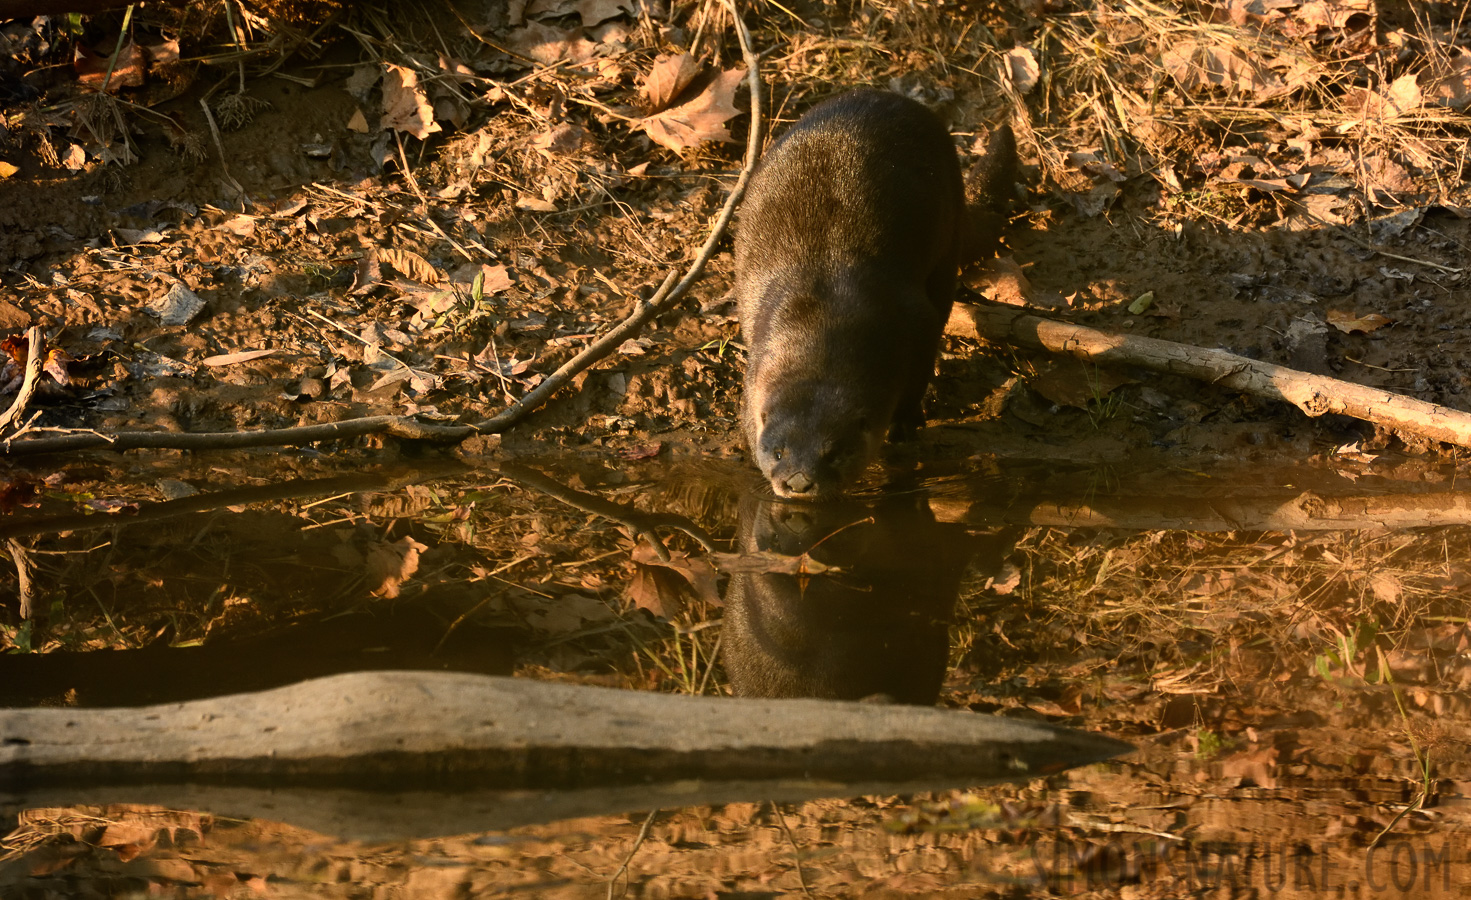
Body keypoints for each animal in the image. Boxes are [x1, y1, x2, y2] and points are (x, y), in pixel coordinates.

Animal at [732, 88, 1012, 500]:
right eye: (778, 452)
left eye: (834, 453)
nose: (798, 481)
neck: (820, 317)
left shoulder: (914, 321)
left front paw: (905, 424)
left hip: (948, 225)